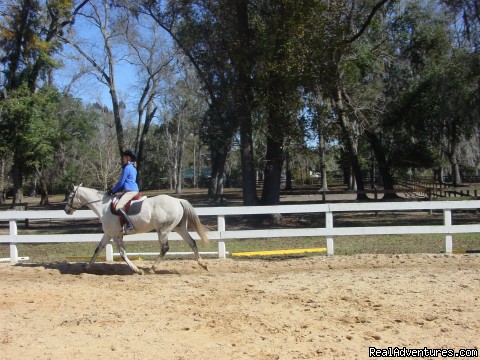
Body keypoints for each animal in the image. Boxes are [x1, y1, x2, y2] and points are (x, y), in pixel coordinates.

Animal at [63, 184, 208, 274]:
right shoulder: (108, 234)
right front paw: (87, 267)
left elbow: (122, 254)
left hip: (163, 230)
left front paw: (137, 270)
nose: (66, 210)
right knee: (192, 242)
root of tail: (178, 200)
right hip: (179, 228)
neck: (102, 206)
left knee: (165, 248)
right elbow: (98, 249)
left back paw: (152, 268)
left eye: (70, 196)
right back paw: (203, 264)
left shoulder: (116, 235)